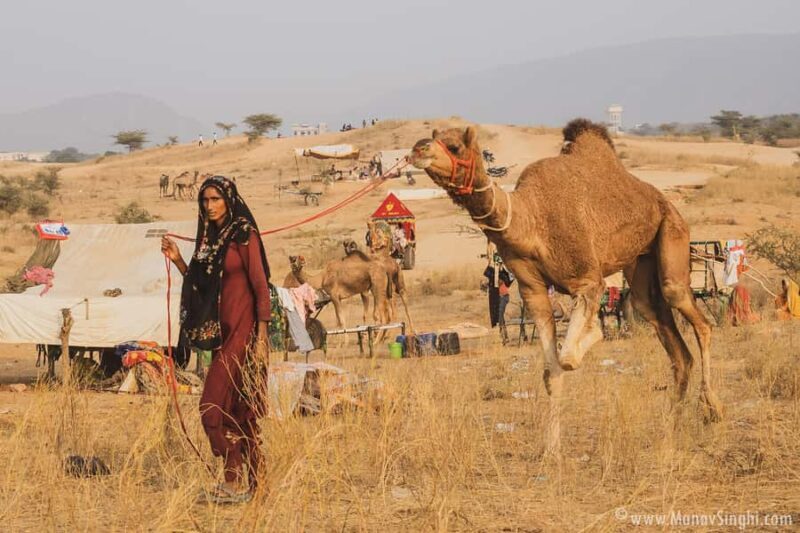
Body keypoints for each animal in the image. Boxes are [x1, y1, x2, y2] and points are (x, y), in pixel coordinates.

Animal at [409, 119, 723, 453]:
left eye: (454, 146)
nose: (418, 149)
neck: (530, 223)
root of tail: (664, 202)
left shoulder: (587, 279)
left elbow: (568, 358)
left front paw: (596, 332)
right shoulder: (533, 290)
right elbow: (551, 371)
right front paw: (551, 449)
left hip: (673, 232)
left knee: (694, 315)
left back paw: (712, 408)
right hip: (640, 263)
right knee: (666, 333)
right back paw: (670, 428)